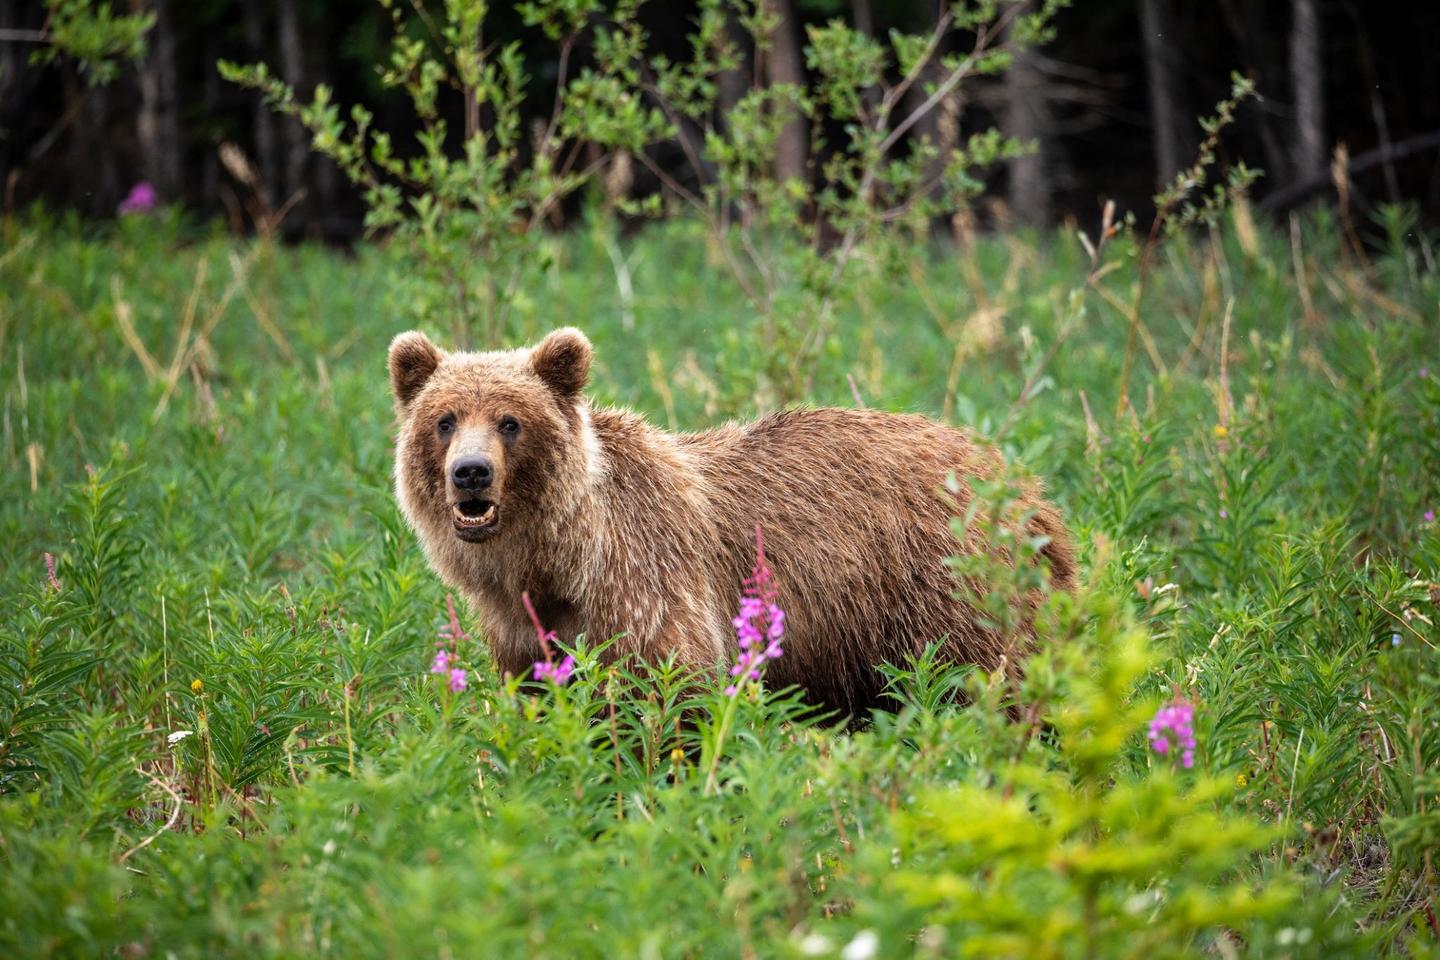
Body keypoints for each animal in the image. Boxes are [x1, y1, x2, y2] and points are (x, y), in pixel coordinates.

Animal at [389, 327, 1075, 714]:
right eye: (445, 419)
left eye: (510, 420)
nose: (471, 473)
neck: (558, 562)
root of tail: (1023, 483)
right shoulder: (522, 631)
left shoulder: (645, 582)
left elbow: (669, 694)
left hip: (945, 592)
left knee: (992, 681)